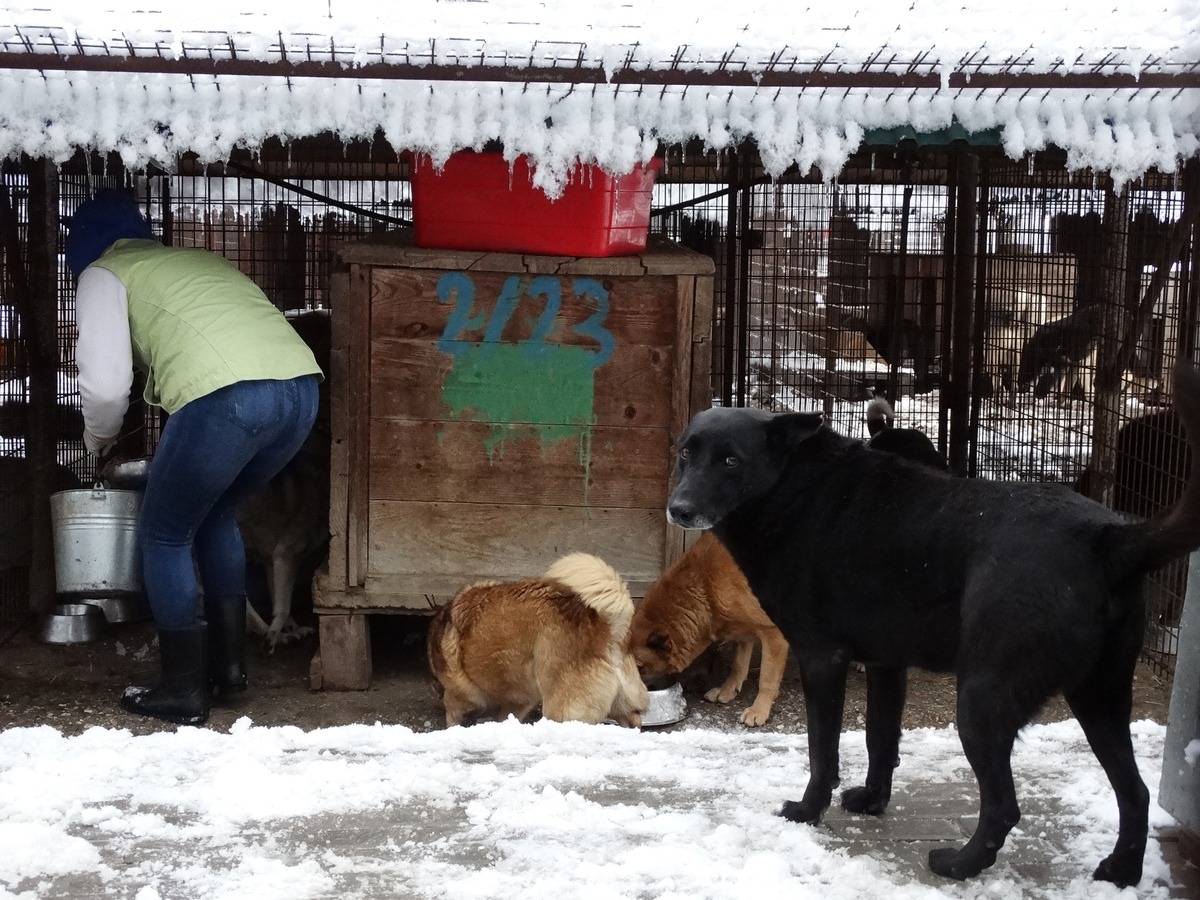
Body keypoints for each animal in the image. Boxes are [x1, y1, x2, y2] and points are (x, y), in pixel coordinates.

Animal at [424, 554, 643, 729]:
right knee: (633, 721)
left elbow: (453, 715)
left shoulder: (457, 696)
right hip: (622, 703)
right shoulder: (520, 699)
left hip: (562, 709)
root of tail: (604, 624)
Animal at [628, 532, 787, 729]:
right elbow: (739, 665)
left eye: (640, 668)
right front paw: (727, 690)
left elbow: (766, 679)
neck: (706, 585)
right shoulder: (743, 630)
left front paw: (759, 709)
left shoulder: (772, 634)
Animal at [667, 362, 1200, 888]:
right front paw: (873, 802)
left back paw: (959, 865)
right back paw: (1121, 872)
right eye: (685, 453)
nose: (678, 509)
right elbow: (880, 738)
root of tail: (1108, 537)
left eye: (731, 461)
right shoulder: (886, 664)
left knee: (1004, 807)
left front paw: (807, 810)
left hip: (982, 701)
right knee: (1135, 793)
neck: (793, 490)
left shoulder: (822, 659)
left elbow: (823, 752)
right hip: (1099, 698)